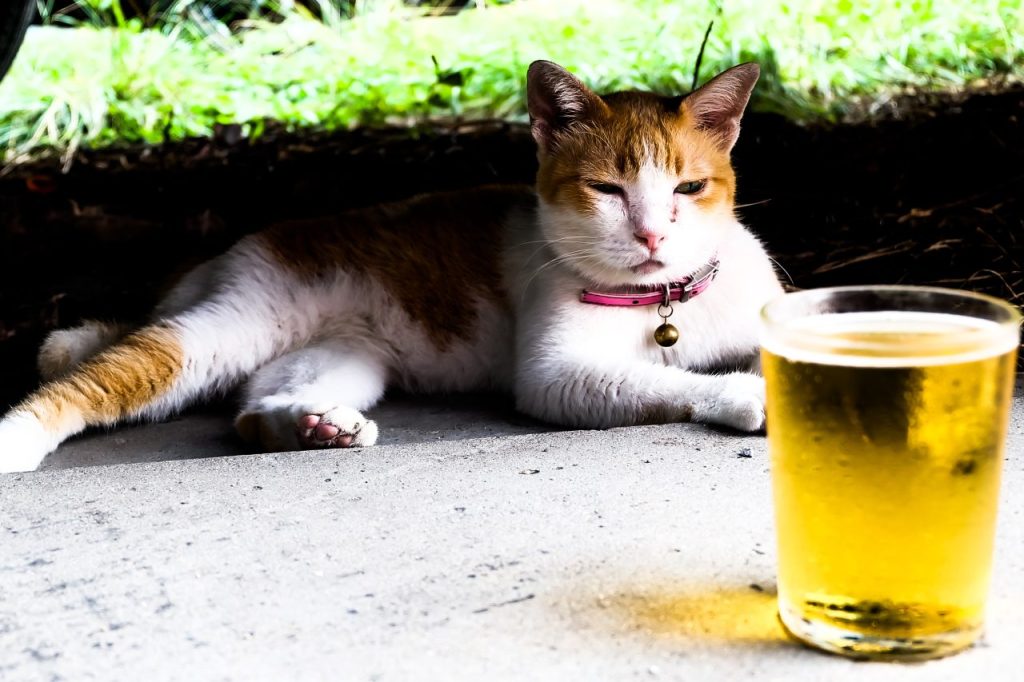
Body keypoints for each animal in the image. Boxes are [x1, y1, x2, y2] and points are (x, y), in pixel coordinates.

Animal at [0, 61, 782, 471]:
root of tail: (223, 256)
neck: (664, 302)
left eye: (689, 188)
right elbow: (660, 380)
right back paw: (20, 438)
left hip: (340, 357)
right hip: (224, 329)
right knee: (102, 381)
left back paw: (313, 427)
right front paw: (750, 395)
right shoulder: (557, 376)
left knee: (252, 408)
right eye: (608, 191)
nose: (651, 234)